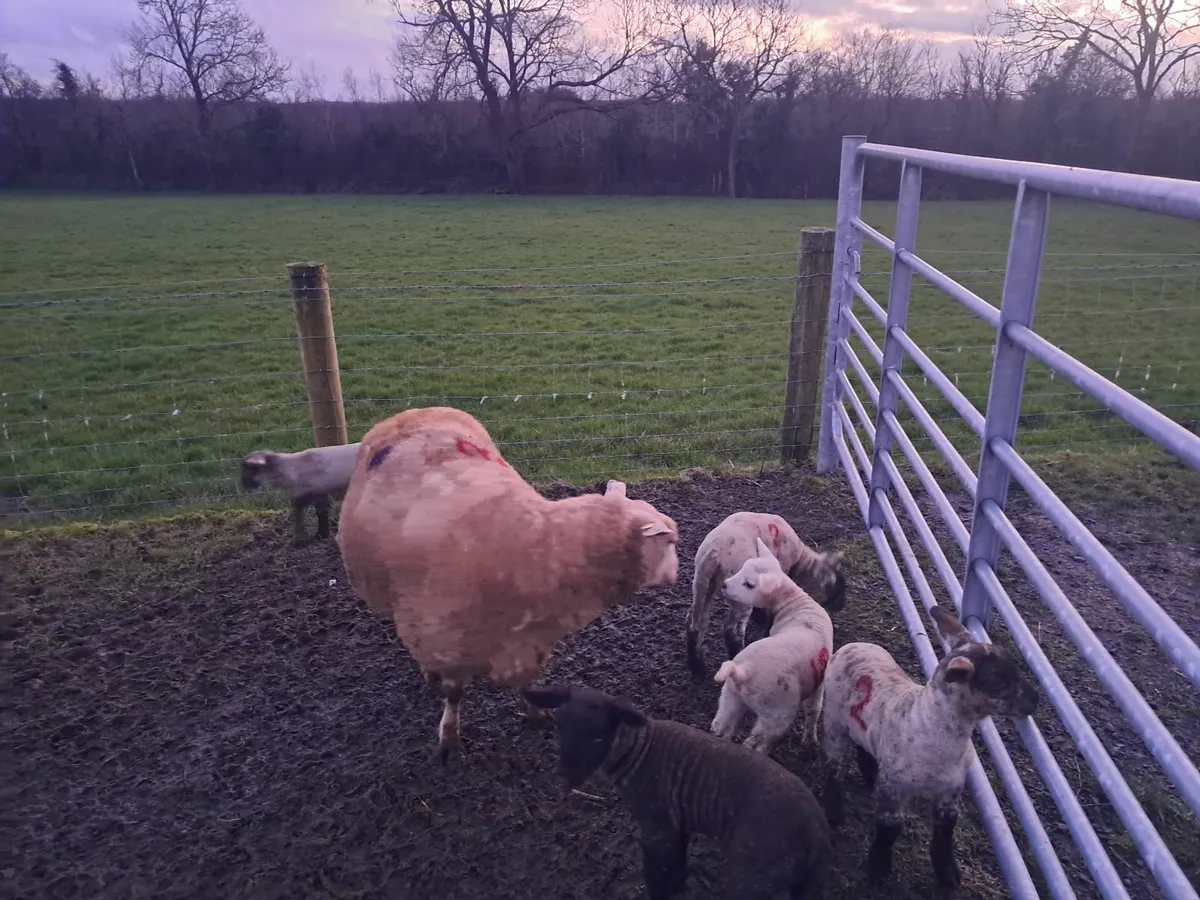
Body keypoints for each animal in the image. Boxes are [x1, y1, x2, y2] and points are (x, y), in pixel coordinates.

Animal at [335, 406, 679, 762]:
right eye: (670, 542)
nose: (676, 576)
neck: (541, 545)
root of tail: (414, 411)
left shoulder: (530, 642)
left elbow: (528, 685)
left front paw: (536, 715)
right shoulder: (447, 641)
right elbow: (454, 694)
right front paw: (449, 737)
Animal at [522, 682, 831, 900]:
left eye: (597, 736)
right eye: (559, 725)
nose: (564, 777)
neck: (636, 750)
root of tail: (815, 828)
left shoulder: (657, 828)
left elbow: (657, 874)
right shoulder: (677, 823)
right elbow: (677, 867)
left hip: (753, 874)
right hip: (805, 882)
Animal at [687, 511, 845, 678]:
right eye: (837, 585)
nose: (840, 606)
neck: (800, 560)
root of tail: (714, 553)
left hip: (703, 584)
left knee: (695, 622)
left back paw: (697, 666)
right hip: (738, 595)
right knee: (731, 631)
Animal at [709, 537, 834, 756]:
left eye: (750, 584)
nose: (724, 585)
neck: (798, 604)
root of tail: (744, 671)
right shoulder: (819, 683)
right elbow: (813, 710)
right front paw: (810, 742)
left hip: (731, 695)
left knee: (720, 726)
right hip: (776, 713)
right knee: (756, 742)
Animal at [820, 604, 1040, 889]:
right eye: (998, 682)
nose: (1036, 700)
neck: (926, 722)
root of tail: (855, 645)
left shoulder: (951, 789)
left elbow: (946, 830)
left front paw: (947, 873)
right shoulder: (894, 787)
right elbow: (890, 828)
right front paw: (878, 867)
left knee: (863, 745)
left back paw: (869, 775)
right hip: (834, 717)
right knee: (832, 763)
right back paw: (834, 808)